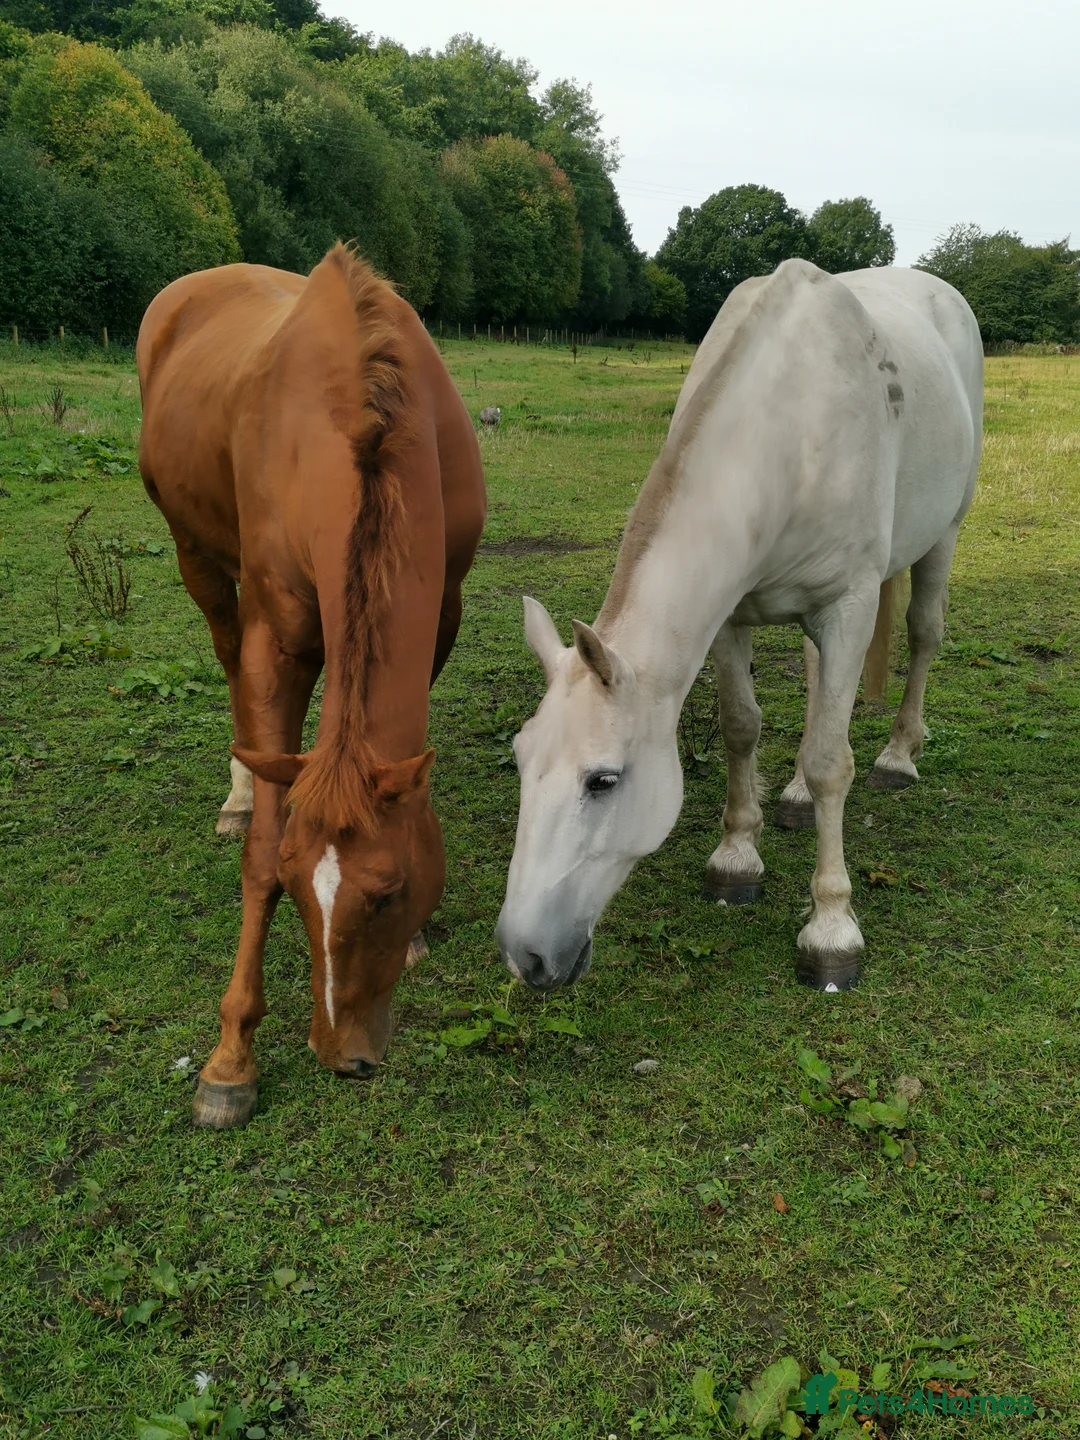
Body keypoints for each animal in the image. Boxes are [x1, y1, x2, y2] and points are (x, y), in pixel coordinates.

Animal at [137, 245, 486, 1128]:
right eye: (296, 890)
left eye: (389, 894)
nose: (343, 1057)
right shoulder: (280, 636)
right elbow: (262, 842)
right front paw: (230, 1058)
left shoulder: (442, 611)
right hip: (197, 556)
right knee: (229, 666)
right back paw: (235, 795)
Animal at [497, 259, 982, 994]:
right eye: (523, 759)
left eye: (602, 781)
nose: (523, 955)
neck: (790, 433)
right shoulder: (728, 618)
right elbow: (740, 728)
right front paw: (735, 860)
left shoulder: (849, 605)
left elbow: (832, 760)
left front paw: (831, 929)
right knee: (816, 678)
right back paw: (797, 798)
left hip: (943, 536)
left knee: (924, 633)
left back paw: (898, 757)